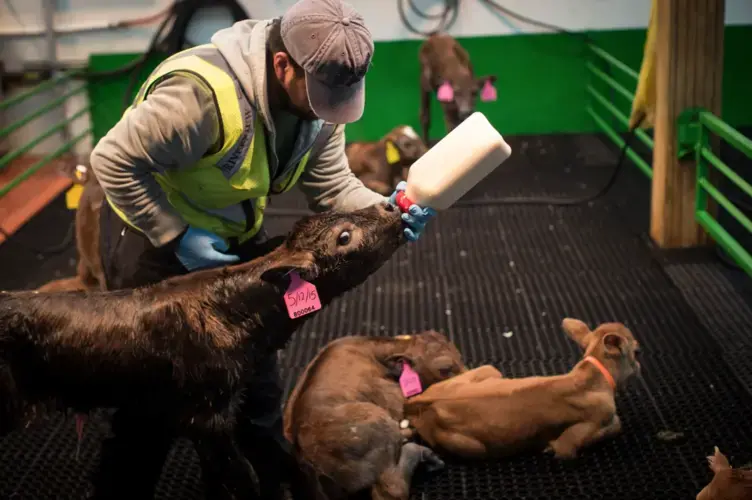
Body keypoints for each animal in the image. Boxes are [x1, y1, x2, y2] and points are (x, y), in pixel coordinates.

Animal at [406, 320, 640, 460]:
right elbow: (613, 425)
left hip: (489, 370)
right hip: (474, 448)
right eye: (637, 350)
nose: (639, 366)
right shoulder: (570, 444)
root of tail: (421, 400)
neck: (592, 375)